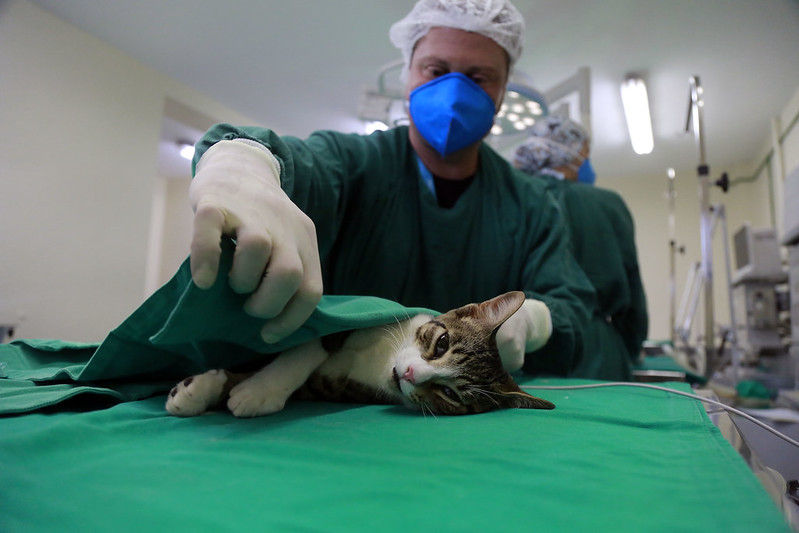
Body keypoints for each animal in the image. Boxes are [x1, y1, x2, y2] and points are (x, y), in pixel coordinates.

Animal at [167, 290, 556, 416]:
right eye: (442, 343)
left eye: (450, 394)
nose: (410, 375)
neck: (380, 361)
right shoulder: (345, 324)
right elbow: (309, 343)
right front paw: (201, 389)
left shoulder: (332, 387)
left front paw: (254, 391)